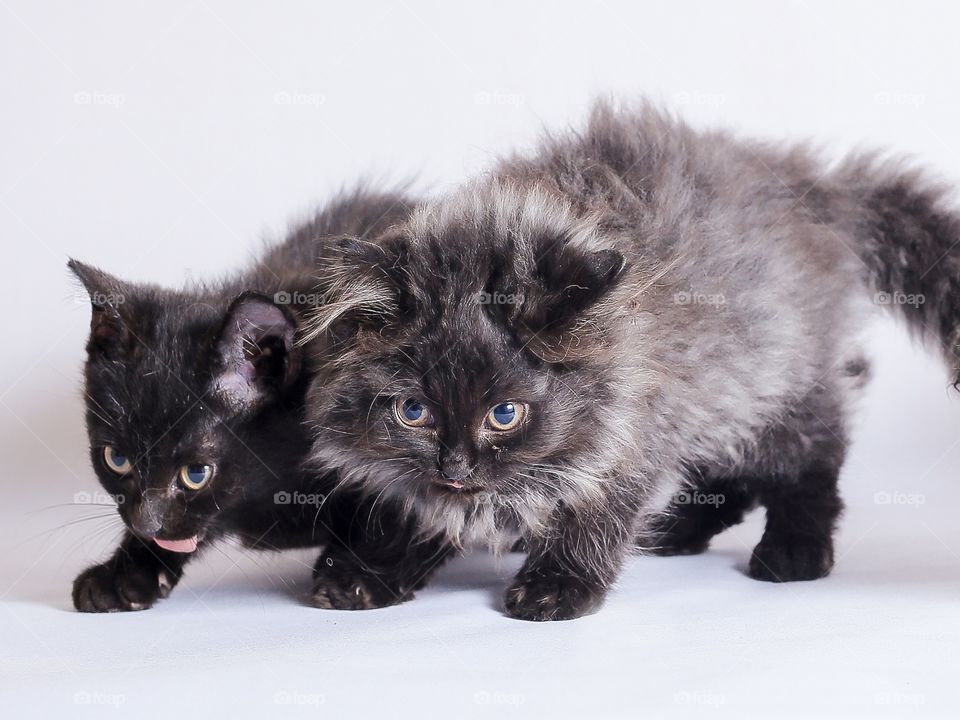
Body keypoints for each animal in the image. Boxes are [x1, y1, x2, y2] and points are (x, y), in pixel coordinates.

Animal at [300, 101, 960, 620]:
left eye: (505, 414)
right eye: (413, 412)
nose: (457, 465)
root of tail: (821, 190)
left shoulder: (630, 438)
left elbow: (594, 517)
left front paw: (558, 586)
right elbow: (416, 508)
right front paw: (368, 568)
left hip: (781, 376)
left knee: (811, 464)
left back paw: (792, 550)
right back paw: (679, 530)